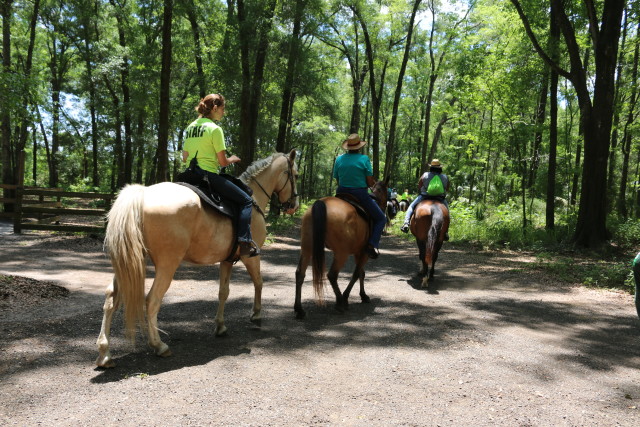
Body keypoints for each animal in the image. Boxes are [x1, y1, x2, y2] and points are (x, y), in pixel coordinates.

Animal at [95, 151, 300, 368]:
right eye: (295, 175)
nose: (293, 206)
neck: (253, 200)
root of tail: (142, 195)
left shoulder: (227, 261)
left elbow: (223, 292)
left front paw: (220, 326)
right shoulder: (251, 257)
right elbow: (259, 282)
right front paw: (256, 315)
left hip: (126, 263)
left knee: (111, 298)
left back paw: (105, 352)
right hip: (167, 265)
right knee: (152, 300)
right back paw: (159, 346)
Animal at [292, 176, 388, 320]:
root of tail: (321, 203)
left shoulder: (358, 252)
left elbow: (362, 273)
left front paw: (363, 295)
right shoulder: (364, 253)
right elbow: (356, 274)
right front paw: (348, 297)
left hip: (307, 249)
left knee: (300, 274)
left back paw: (299, 309)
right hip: (341, 253)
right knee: (332, 275)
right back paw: (340, 302)